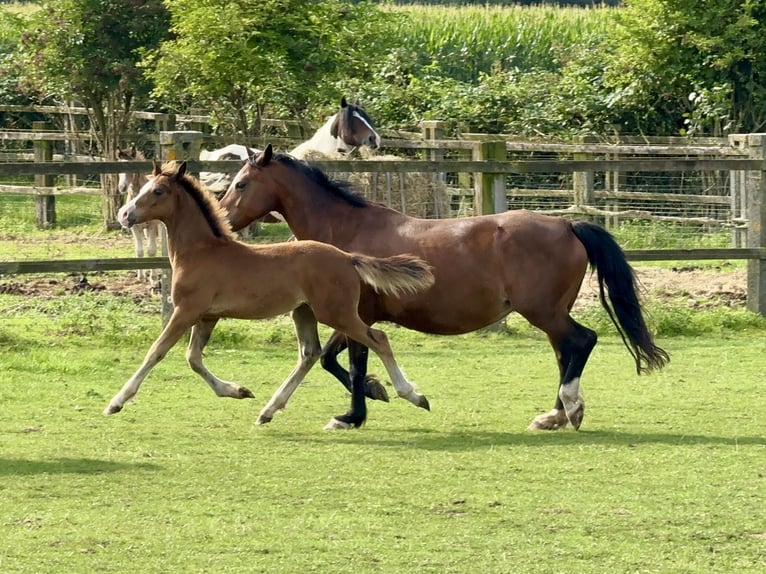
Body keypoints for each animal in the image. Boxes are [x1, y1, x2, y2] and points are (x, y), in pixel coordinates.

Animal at [105, 160, 436, 430]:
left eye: (158, 191)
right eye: (144, 187)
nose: (124, 213)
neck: (201, 252)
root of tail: (347, 257)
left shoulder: (186, 311)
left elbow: (156, 351)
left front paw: (116, 402)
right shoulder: (208, 316)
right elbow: (193, 358)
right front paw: (237, 391)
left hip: (337, 313)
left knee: (378, 338)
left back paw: (414, 395)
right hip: (303, 312)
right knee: (310, 354)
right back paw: (268, 410)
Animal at [115, 145, 159, 282]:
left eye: (131, 166)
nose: (122, 188)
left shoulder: (152, 225)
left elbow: (151, 250)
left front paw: (153, 277)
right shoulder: (134, 227)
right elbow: (139, 251)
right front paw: (141, 276)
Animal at [219, 144, 668, 432]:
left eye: (241, 184)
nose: (222, 219)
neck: (346, 231)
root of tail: (567, 224)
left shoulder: (357, 315)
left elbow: (348, 360)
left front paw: (356, 413)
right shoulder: (357, 317)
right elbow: (340, 361)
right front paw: (371, 398)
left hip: (543, 311)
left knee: (582, 342)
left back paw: (568, 409)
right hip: (552, 313)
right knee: (566, 353)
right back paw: (553, 415)